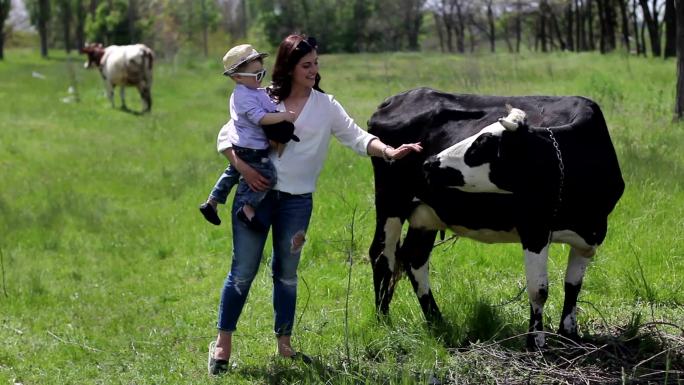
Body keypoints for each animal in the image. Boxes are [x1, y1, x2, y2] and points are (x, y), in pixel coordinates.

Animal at [368, 88, 624, 348]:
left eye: (481, 144)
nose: (429, 162)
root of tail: (401, 96)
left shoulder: (591, 235)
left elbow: (573, 286)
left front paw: (569, 334)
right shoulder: (534, 229)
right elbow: (539, 289)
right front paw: (535, 342)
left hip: (425, 215)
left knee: (414, 258)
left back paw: (437, 321)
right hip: (391, 202)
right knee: (382, 256)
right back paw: (384, 321)